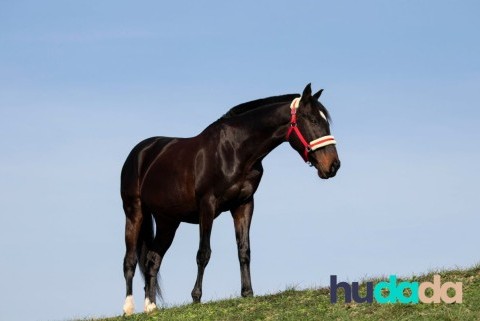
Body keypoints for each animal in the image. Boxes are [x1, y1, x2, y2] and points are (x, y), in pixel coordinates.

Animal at [122, 84, 340, 314]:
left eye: (326, 121)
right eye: (313, 120)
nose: (334, 165)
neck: (234, 150)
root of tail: (141, 152)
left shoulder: (243, 205)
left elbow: (244, 250)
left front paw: (247, 293)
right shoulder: (207, 206)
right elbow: (203, 253)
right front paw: (196, 297)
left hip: (168, 221)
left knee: (152, 259)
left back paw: (151, 307)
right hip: (134, 213)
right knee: (130, 261)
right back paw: (128, 308)